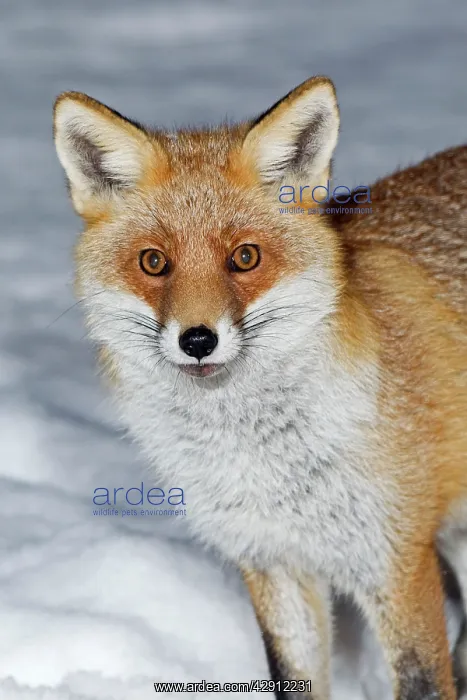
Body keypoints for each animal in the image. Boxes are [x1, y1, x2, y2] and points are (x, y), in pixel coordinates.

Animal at [53, 76, 467, 700]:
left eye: (244, 257)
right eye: (154, 263)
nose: (198, 340)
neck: (262, 462)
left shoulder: (394, 562)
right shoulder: (272, 561)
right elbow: (294, 680)